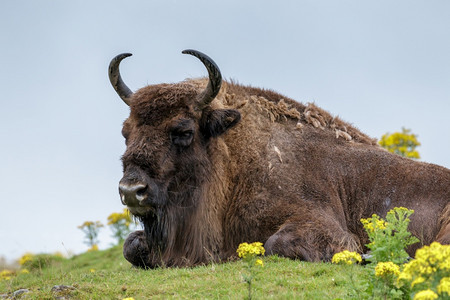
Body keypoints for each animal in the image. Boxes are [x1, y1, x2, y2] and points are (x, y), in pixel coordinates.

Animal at [107, 49, 448, 270]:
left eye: (184, 131)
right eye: (125, 131)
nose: (131, 190)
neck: (238, 161)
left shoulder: (323, 226)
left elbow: (275, 244)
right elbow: (131, 245)